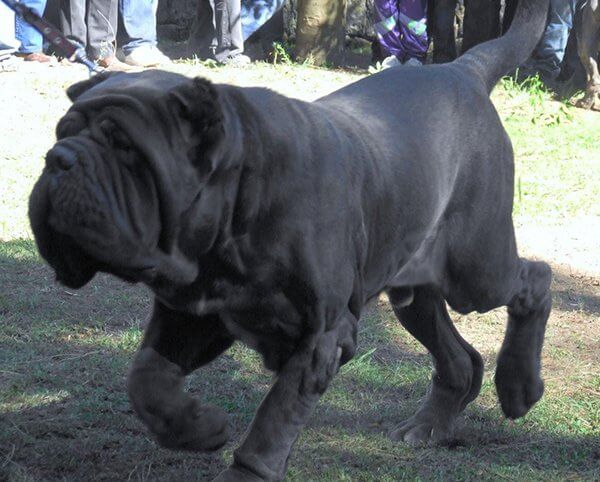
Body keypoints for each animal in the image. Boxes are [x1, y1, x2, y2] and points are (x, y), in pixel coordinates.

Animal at [30, 1, 552, 480]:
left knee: (535, 279)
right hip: (414, 285)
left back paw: (519, 388)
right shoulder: (190, 315)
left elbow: (273, 420)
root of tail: (461, 69)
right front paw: (198, 427)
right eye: (61, 132)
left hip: (475, 271)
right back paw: (429, 425)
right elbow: (147, 379)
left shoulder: (321, 334)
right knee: (459, 358)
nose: (60, 158)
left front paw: (244, 470)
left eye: (125, 147)